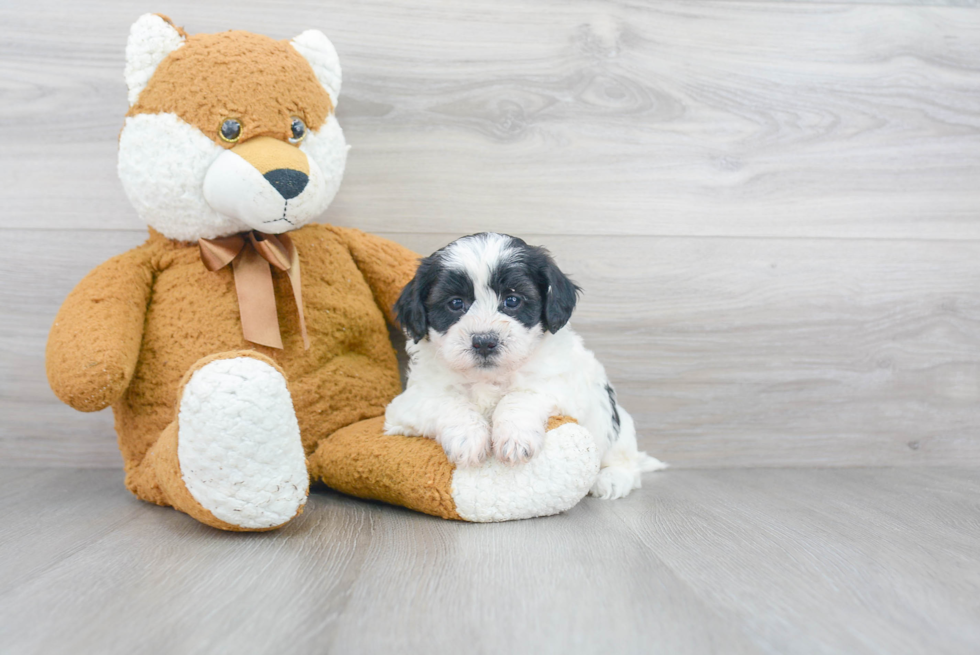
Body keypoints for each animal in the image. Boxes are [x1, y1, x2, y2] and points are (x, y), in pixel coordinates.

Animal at [382, 233, 668, 500]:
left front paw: (514, 437)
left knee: (626, 461)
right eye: (455, 303)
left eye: (512, 300)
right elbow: (448, 402)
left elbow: (520, 396)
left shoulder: (562, 387)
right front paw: (469, 437)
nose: (484, 341)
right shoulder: (408, 403)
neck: (489, 378)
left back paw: (612, 479)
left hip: (618, 427)